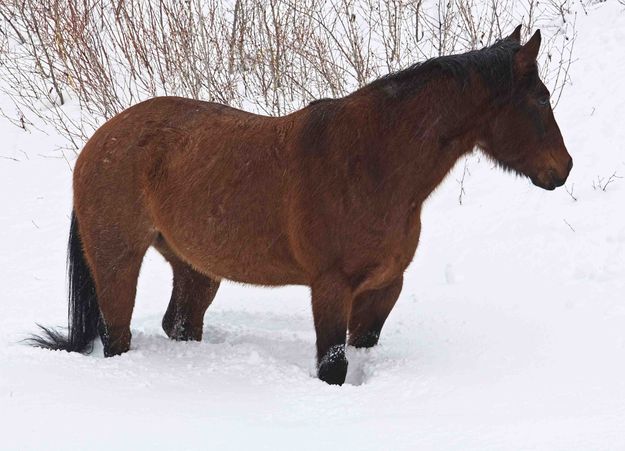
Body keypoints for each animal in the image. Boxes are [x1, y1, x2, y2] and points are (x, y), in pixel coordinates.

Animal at [31, 26, 572, 384]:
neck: (373, 162)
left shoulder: (383, 290)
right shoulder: (330, 288)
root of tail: (98, 141)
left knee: (179, 323)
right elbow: (333, 366)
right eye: (540, 100)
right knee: (117, 335)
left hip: (194, 266)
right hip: (118, 260)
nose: (563, 169)